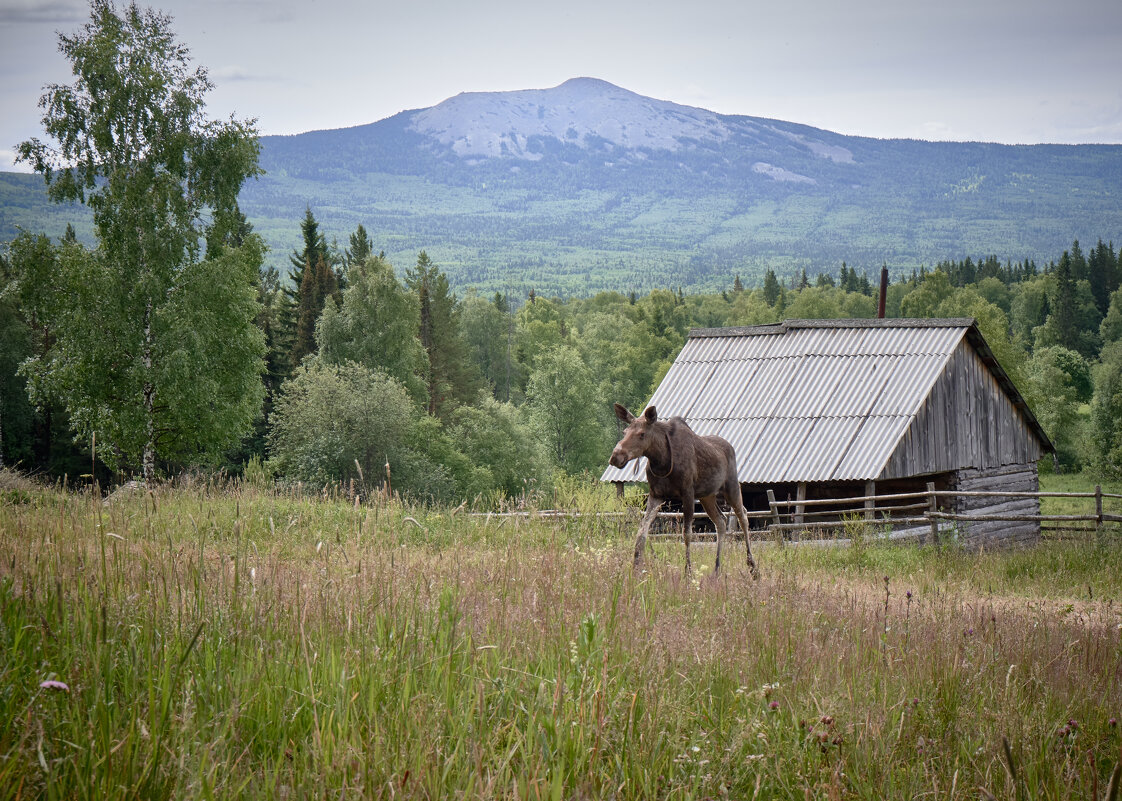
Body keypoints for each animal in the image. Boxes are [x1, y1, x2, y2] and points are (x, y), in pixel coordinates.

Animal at [610, 401, 758, 578]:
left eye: (642, 434)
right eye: (625, 432)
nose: (616, 456)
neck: (661, 461)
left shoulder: (687, 493)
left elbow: (687, 534)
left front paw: (688, 572)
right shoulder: (656, 495)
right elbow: (641, 532)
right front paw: (636, 570)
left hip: (731, 487)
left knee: (743, 516)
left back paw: (752, 567)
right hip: (707, 496)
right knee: (721, 522)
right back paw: (716, 570)